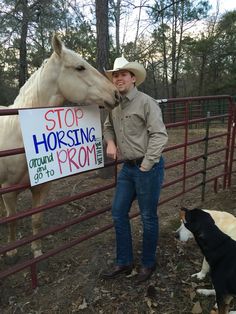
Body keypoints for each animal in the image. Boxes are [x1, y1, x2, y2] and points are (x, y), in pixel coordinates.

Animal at [0, 34, 119, 258]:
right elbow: (13, 220)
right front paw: (12, 251)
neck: (20, 136)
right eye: (80, 67)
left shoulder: (42, 187)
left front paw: (37, 251)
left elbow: (36, 220)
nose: (116, 94)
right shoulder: (8, 192)